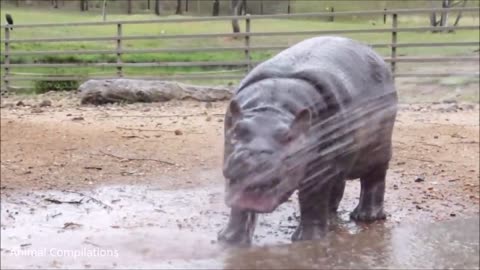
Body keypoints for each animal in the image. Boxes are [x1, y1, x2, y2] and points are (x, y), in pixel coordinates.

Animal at [218, 35, 398, 245]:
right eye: (237, 131)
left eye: (288, 137)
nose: (251, 158)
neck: (274, 108)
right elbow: (239, 207)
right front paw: (228, 239)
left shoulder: (319, 171)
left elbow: (312, 199)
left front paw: (307, 240)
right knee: (337, 185)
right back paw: (330, 216)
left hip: (379, 149)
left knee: (374, 178)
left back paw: (366, 217)